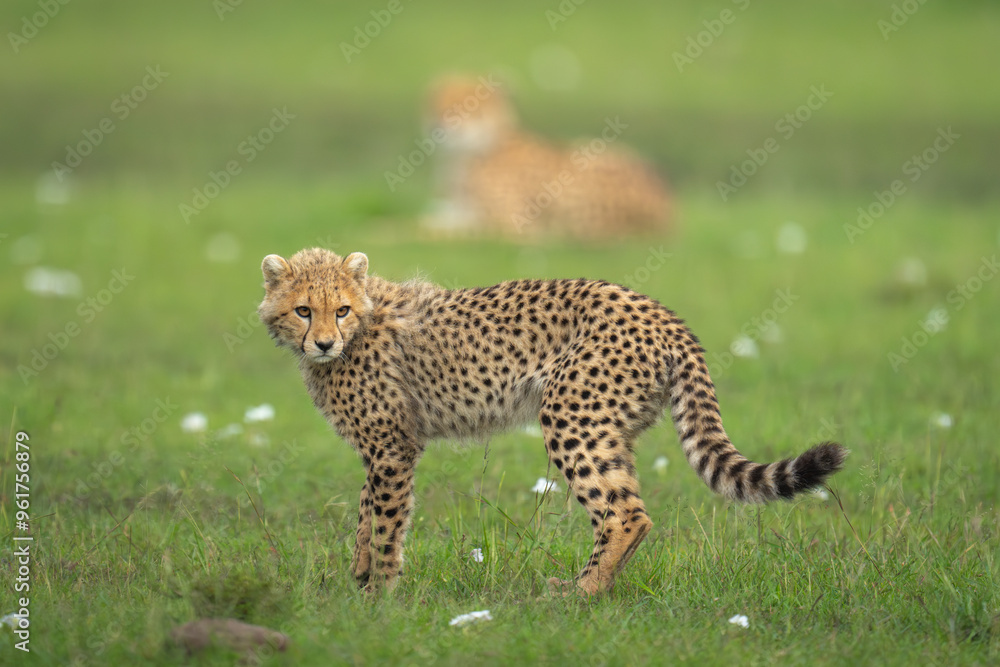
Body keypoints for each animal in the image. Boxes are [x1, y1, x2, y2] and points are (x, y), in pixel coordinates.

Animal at [257, 247, 847, 596]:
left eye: (340, 310)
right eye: (304, 310)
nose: (324, 343)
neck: (361, 323)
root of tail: (662, 313)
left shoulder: (392, 445)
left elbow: (384, 521)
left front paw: (378, 595)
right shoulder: (385, 447)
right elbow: (365, 511)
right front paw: (358, 575)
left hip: (570, 417)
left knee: (625, 514)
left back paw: (577, 594)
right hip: (608, 428)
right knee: (627, 505)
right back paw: (595, 588)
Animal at [422, 75, 674, 241]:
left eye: (469, 107)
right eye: (437, 105)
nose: (439, 123)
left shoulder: (511, 222)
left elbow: (429, 229)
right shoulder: (460, 211)